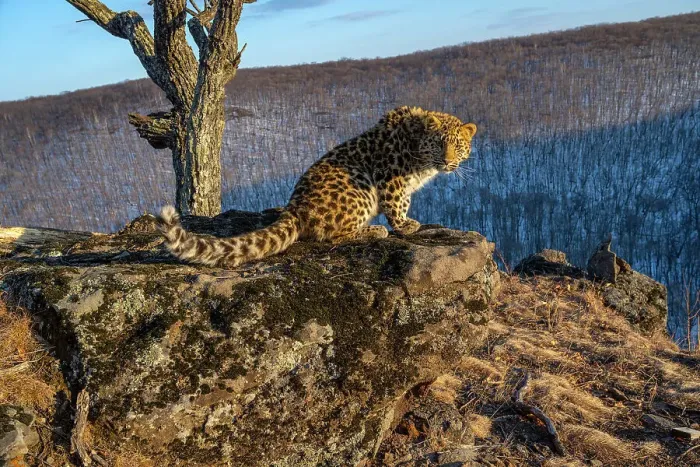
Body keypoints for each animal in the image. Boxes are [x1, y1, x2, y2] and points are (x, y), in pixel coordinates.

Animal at [157, 106, 477, 267]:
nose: (448, 162)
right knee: (333, 236)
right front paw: (405, 225)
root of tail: (295, 208)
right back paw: (375, 230)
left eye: (458, 146)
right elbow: (398, 204)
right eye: (439, 144)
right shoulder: (391, 177)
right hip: (358, 186)